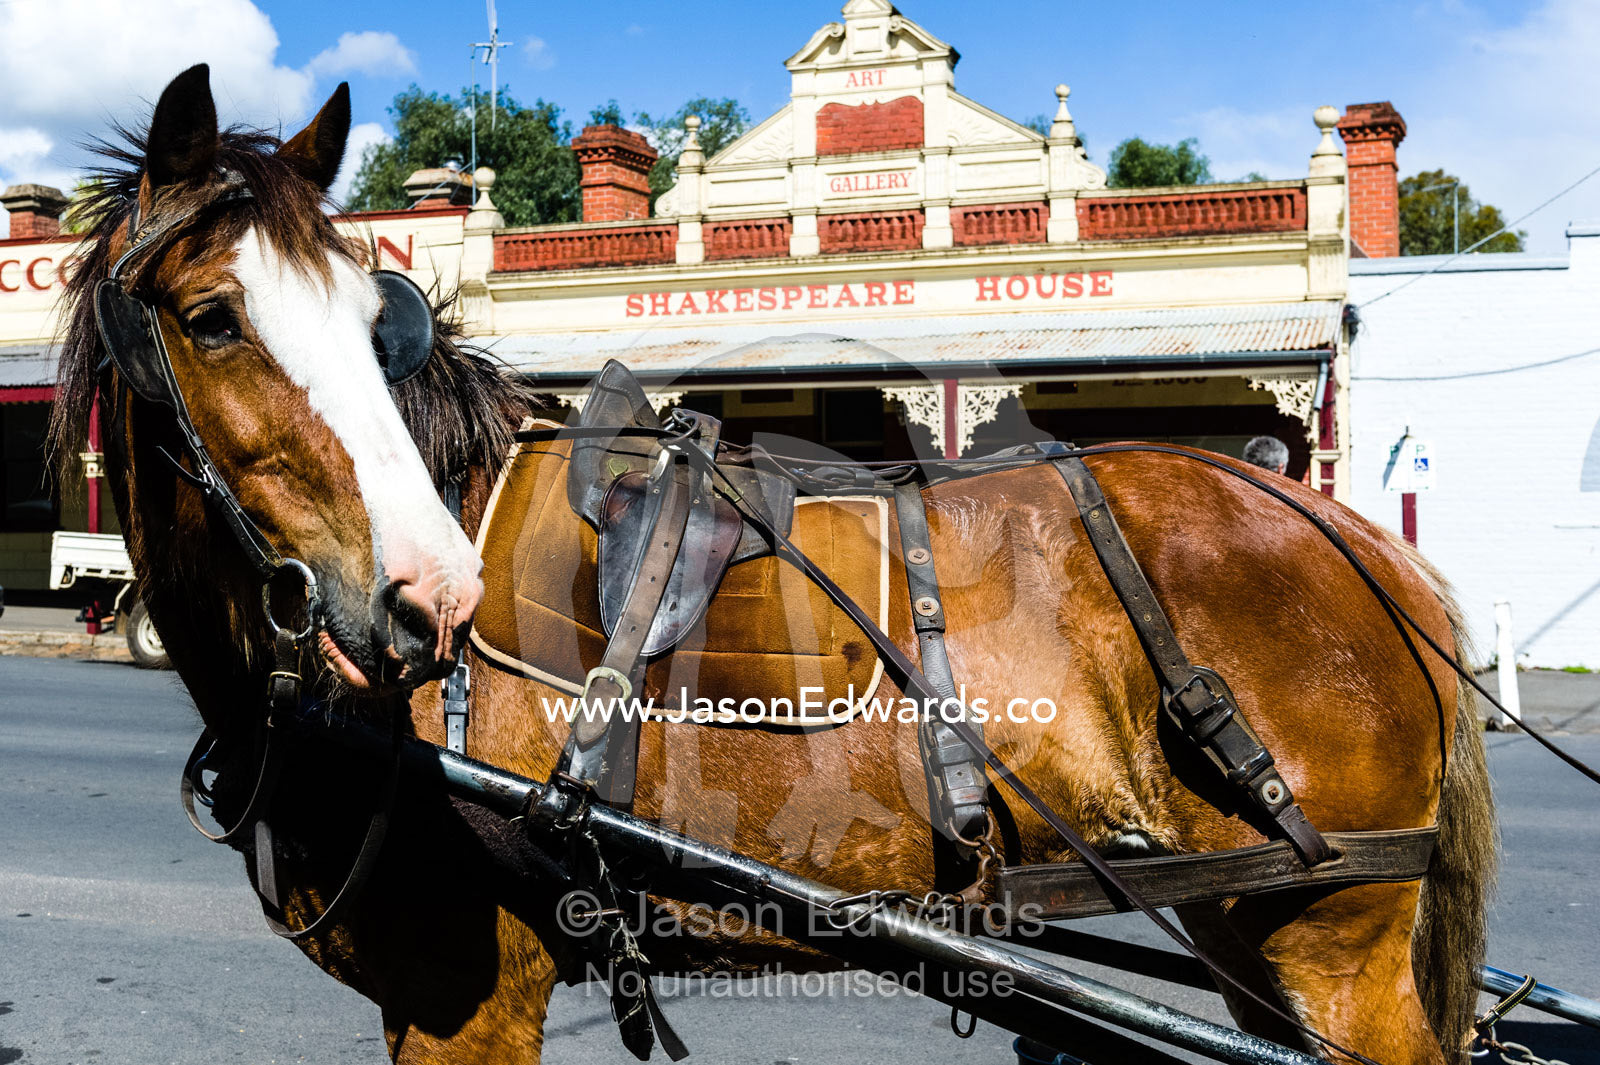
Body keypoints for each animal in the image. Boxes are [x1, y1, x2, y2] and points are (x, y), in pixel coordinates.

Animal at [49, 65, 1495, 1065]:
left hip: (1336, 935)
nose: (427, 597)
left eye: (371, 323)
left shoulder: (472, 994)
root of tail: (1354, 538)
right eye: (212, 318)